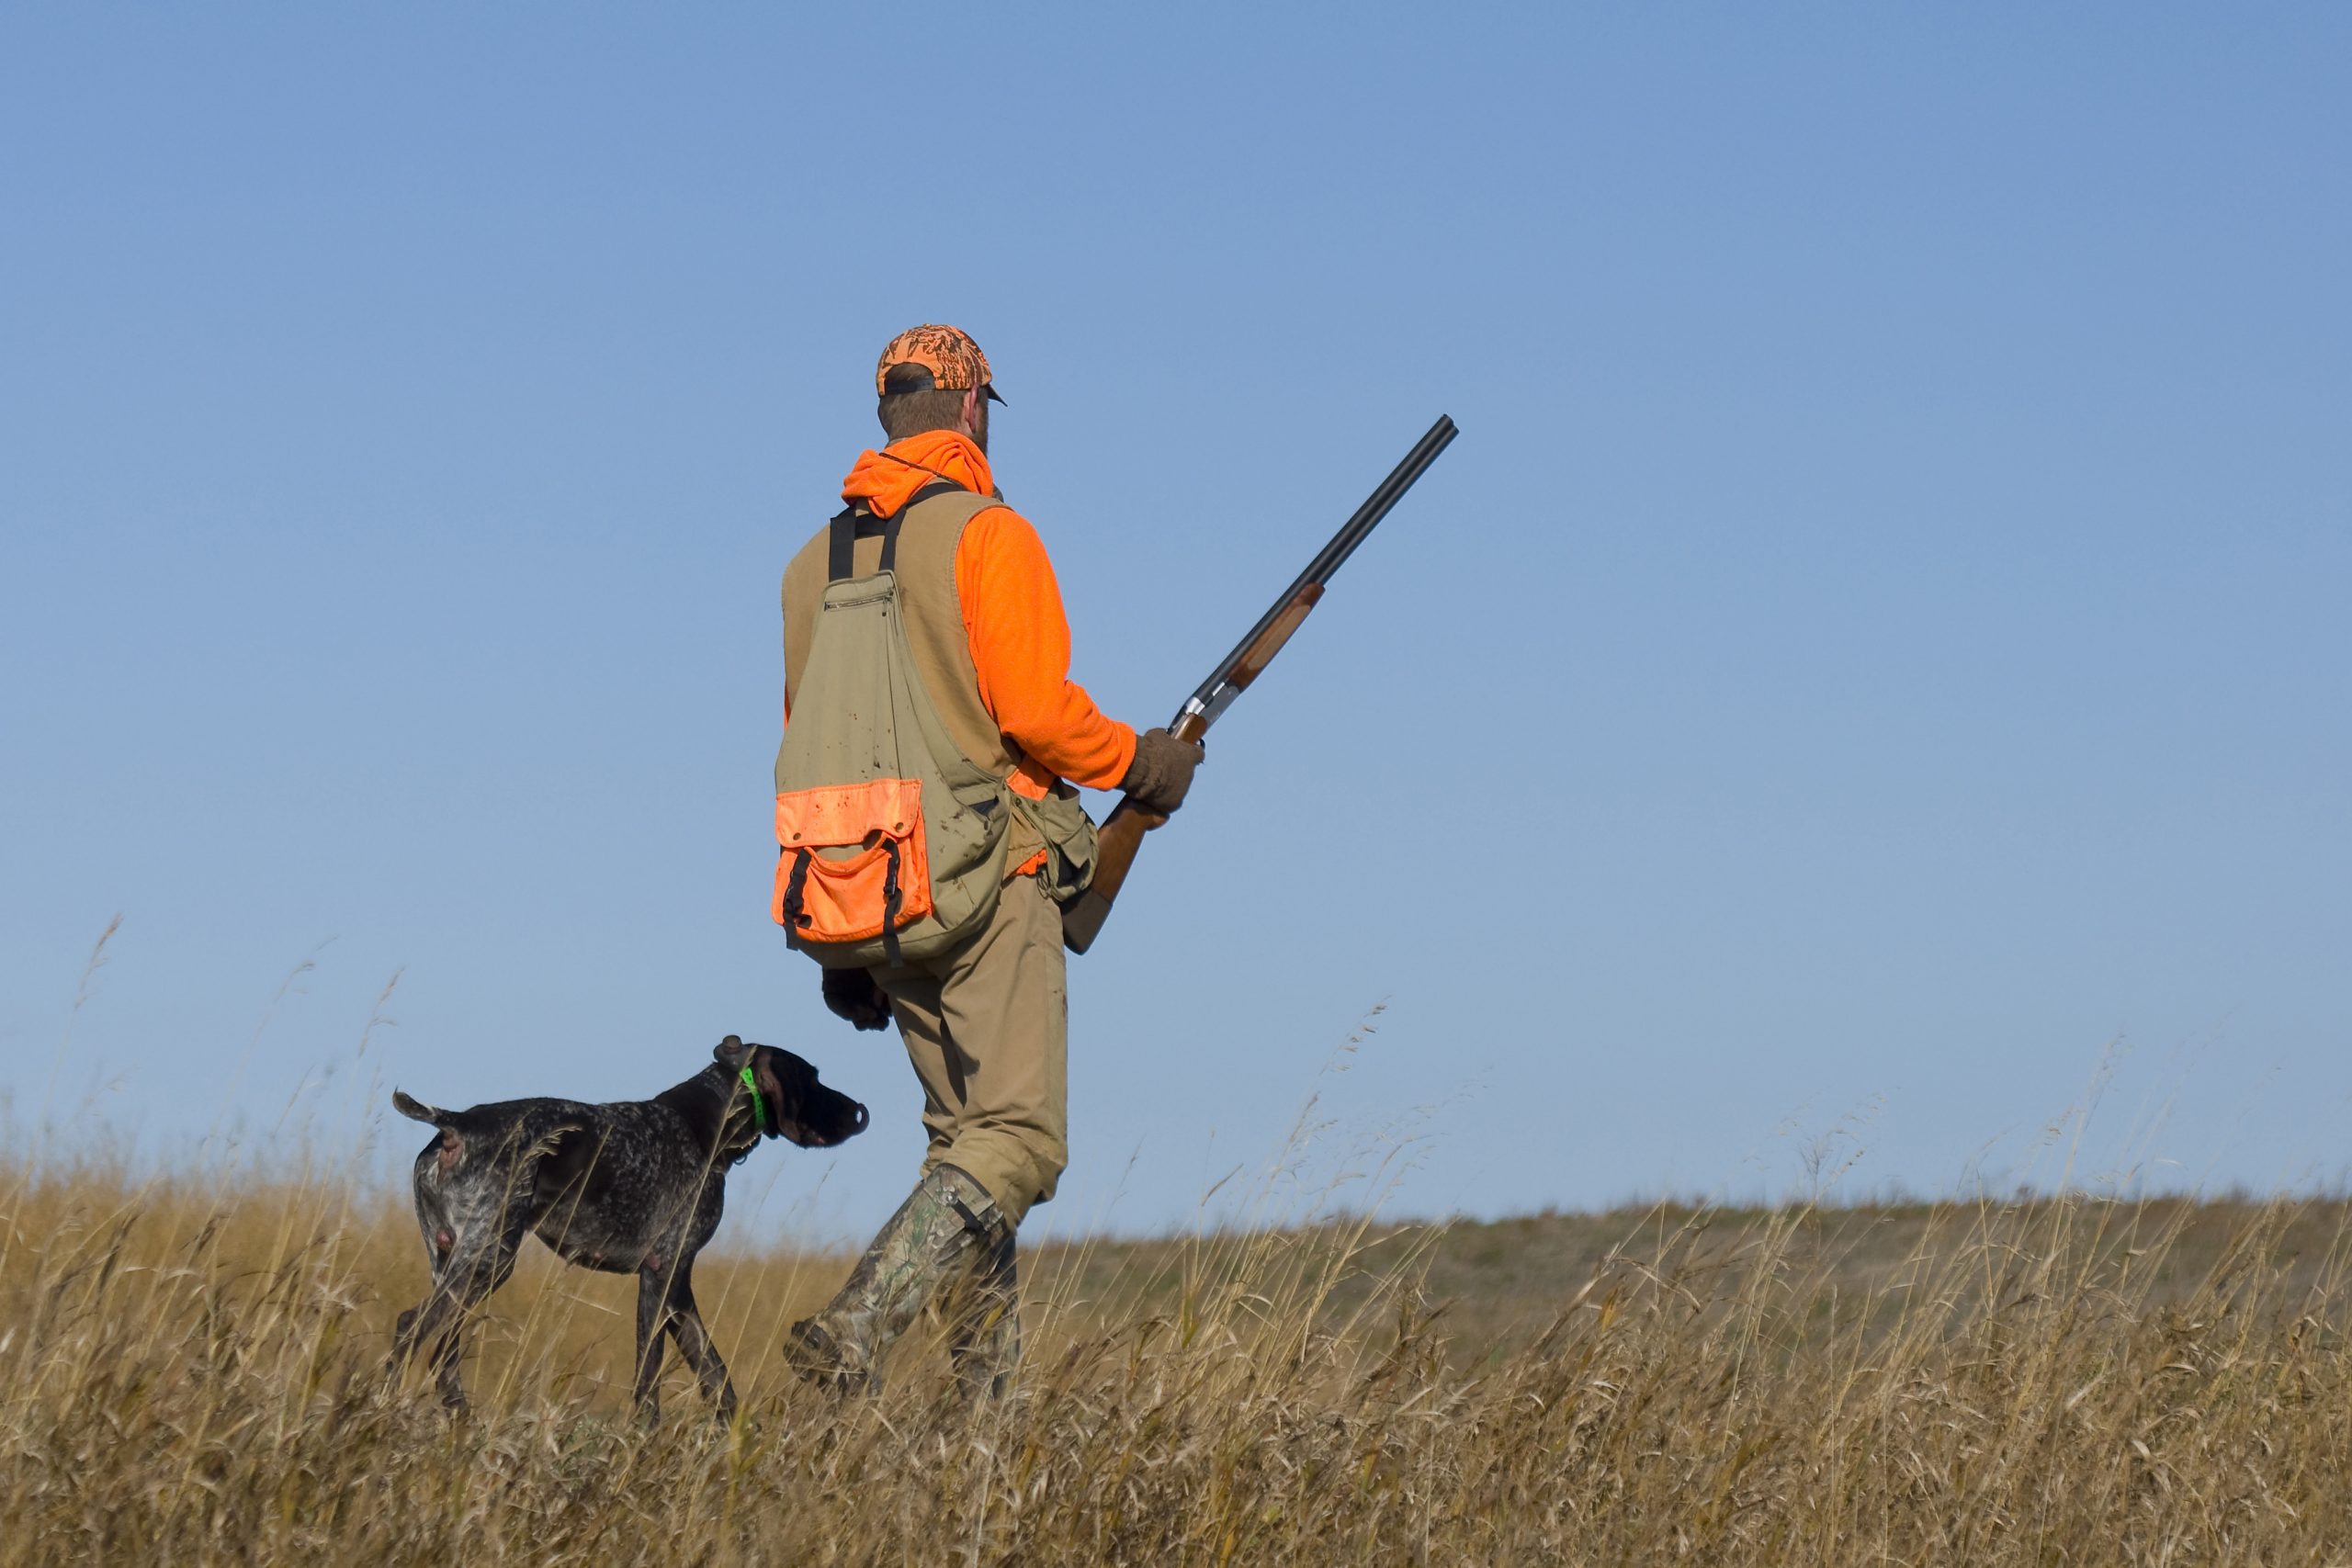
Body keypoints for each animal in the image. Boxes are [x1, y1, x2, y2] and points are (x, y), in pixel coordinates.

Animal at [390, 1043, 870, 1419]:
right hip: (489, 1258)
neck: (707, 1126)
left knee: (443, 1352)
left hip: (457, 1261)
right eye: (813, 1079)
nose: (860, 1111)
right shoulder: (661, 1272)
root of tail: (455, 1124)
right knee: (413, 1327)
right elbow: (648, 1377)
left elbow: (716, 1376)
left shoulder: (679, 1285)